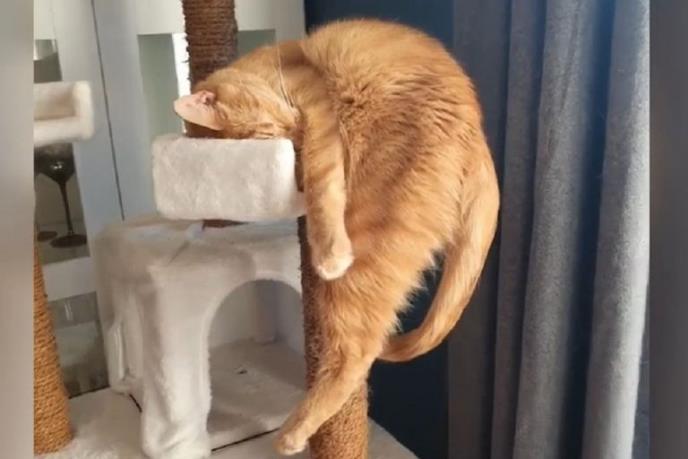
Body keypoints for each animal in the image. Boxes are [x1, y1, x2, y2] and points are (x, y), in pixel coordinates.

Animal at [174, 18, 500, 455]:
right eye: (269, 139)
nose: (294, 130)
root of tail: (476, 137)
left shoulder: (317, 112)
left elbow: (322, 187)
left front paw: (329, 249)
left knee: (357, 354)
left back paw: (291, 436)